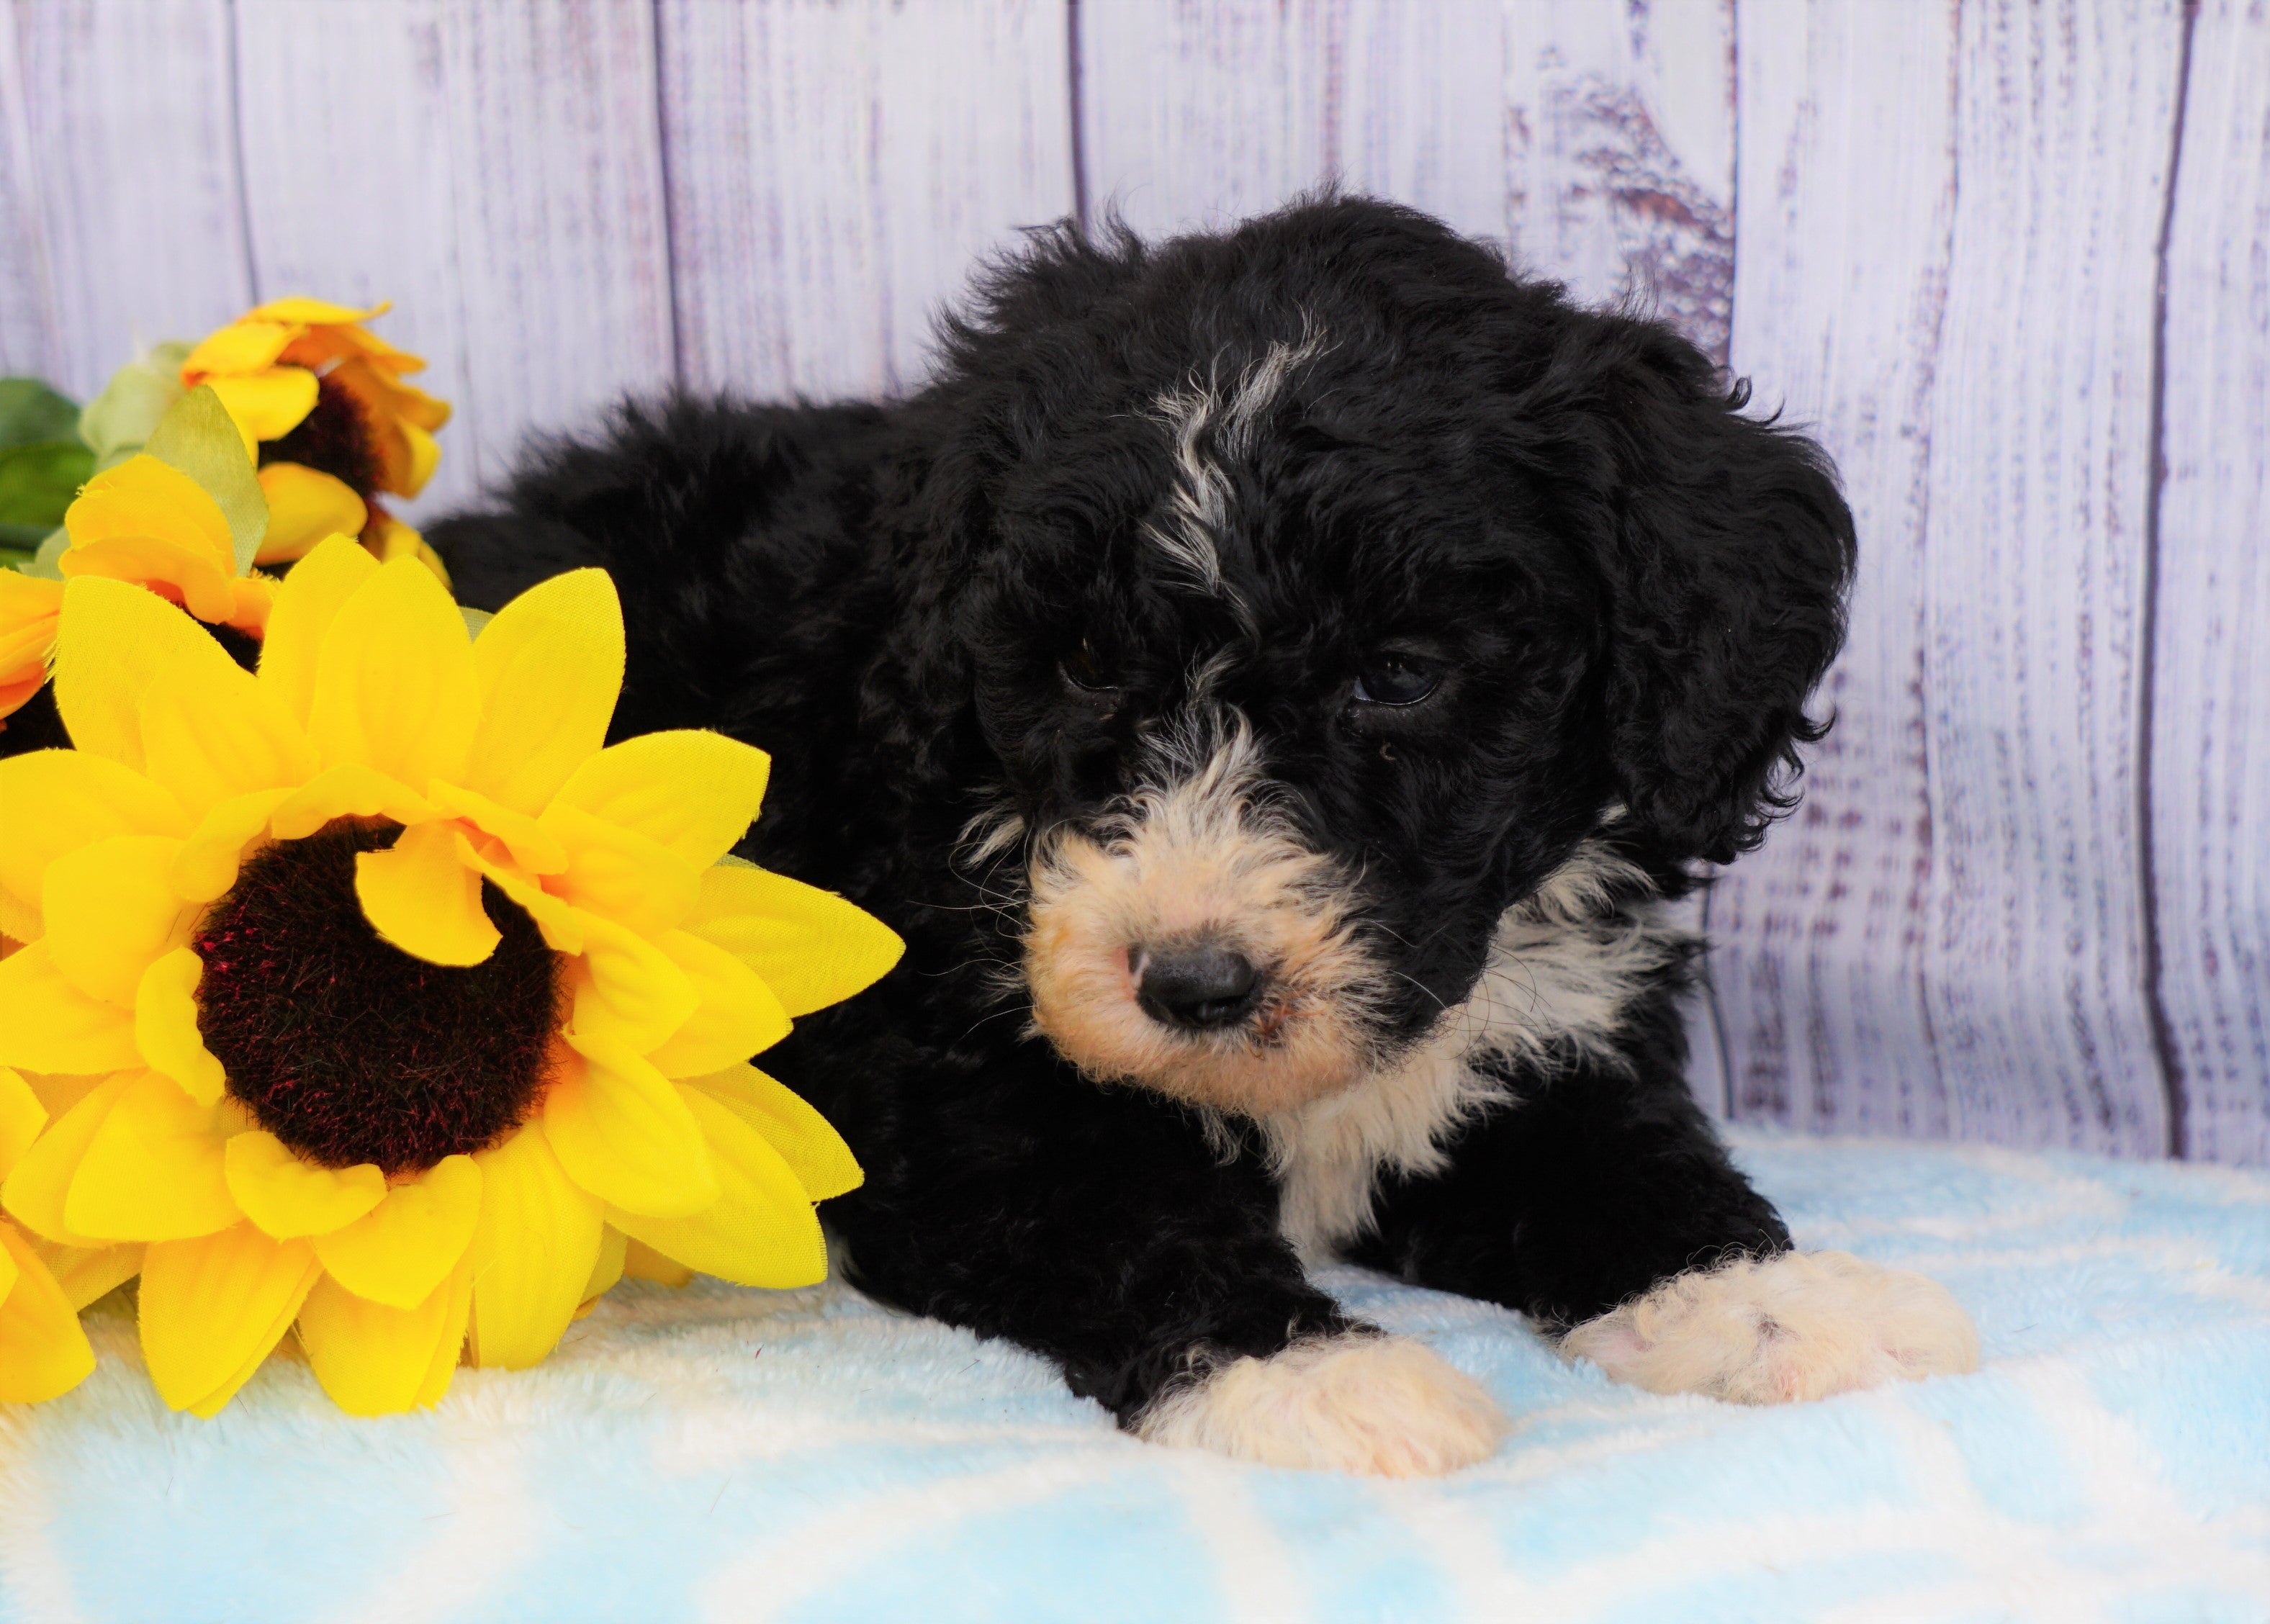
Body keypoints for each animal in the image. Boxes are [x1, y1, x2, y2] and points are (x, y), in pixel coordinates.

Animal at [433, 194, 1979, 1469]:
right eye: (1077, 665)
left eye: (1396, 674)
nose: (1189, 986)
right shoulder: (953, 1097)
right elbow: (1124, 1218)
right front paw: (1311, 1382)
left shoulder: (1542, 1033)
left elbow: (1625, 1161)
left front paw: (1773, 1299)